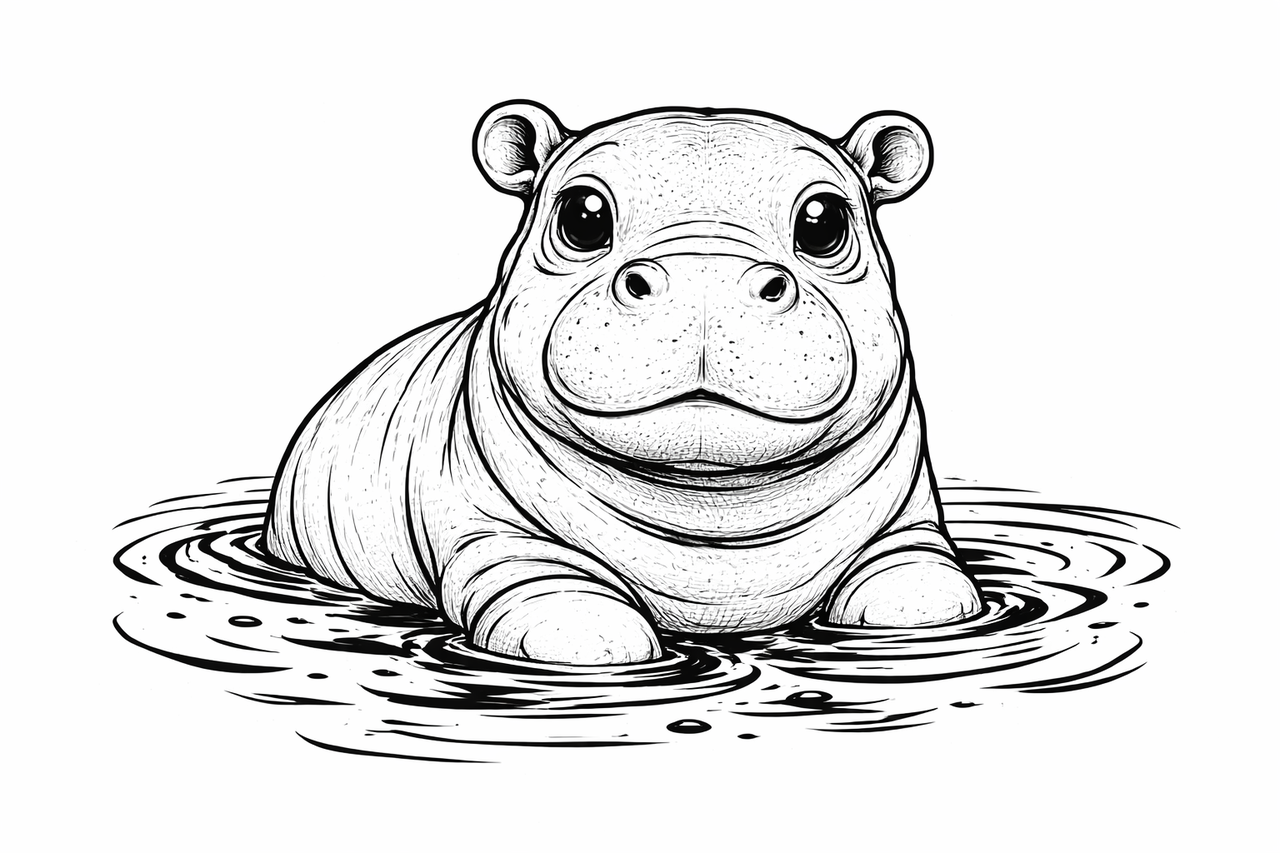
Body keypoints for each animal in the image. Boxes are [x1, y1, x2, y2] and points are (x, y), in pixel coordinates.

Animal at [263, 101, 982, 665]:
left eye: (825, 219)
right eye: (582, 215)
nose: (704, 273)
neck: (713, 515)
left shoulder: (909, 520)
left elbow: (923, 579)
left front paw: (912, 605)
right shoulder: (489, 533)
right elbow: (549, 592)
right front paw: (587, 636)